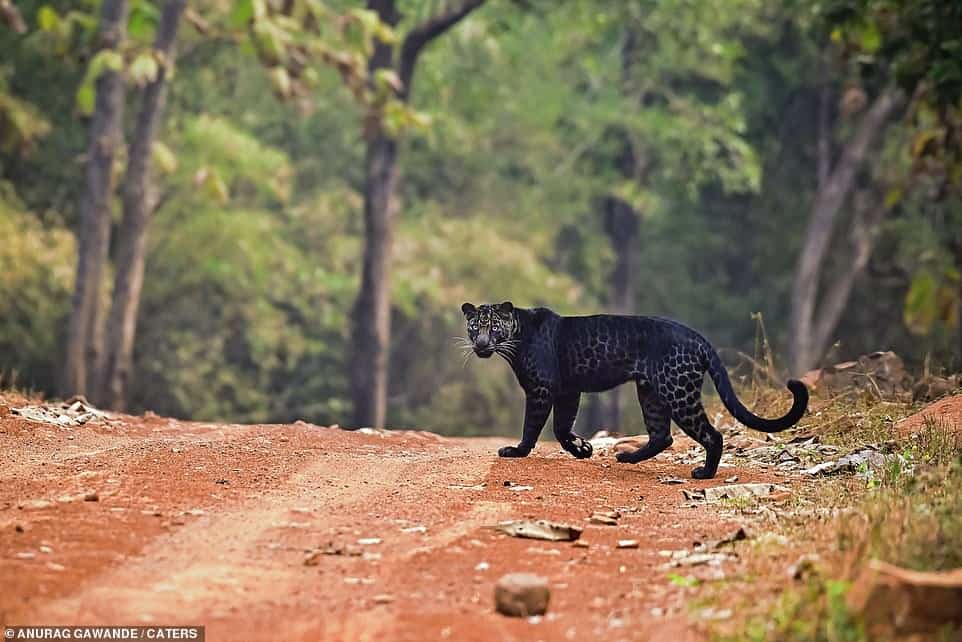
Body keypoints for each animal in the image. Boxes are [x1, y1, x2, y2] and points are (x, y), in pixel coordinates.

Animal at [462, 300, 808, 476]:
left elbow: (534, 425)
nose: (481, 344)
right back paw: (628, 458)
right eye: (473, 328)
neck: (517, 337)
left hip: (677, 392)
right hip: (651, 394)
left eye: (493, 327)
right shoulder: (568, 390)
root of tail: (697, 337)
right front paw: (582, 449)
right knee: (662, 435)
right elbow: (561, 427)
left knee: (712, 434)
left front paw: (516, 451)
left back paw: (703, 473)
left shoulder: (542, 389)